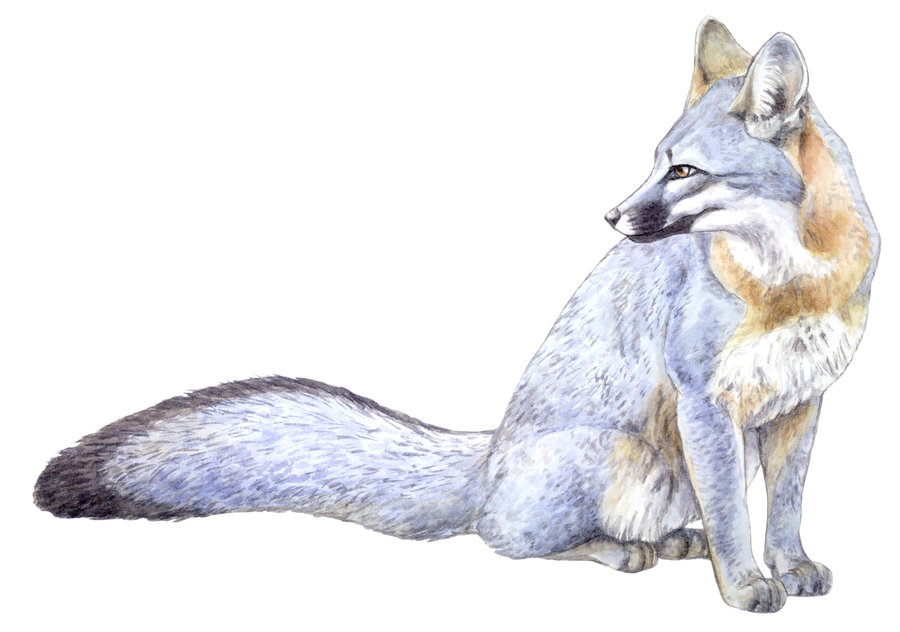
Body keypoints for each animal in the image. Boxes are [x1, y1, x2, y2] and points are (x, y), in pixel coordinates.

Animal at [34, 18, 878, 613]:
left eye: (685, 171)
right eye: (657, 163)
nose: (611, 217)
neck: (794, 282)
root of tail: (490, 455)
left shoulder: (803, 403)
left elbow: (784, 507)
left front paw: (790, 567)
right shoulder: (706, 404)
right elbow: (735, 514)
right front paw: (743, 587)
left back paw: (672, 541)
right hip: (626, 457)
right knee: (503, 539)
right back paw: (619, 551)